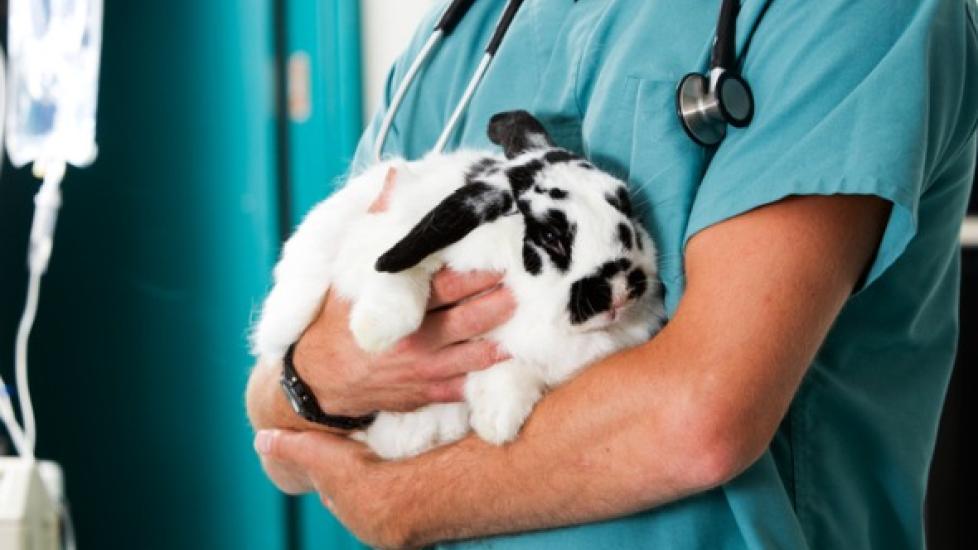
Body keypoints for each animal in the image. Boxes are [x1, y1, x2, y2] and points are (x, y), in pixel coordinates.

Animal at [253, 110, 666, 460]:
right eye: (551, 236)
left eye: (626, 206)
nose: (619, 289)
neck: (531, 299)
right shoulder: (387, 240)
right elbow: (398, 277)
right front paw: (376, 332)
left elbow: (511, 366)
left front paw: (497, 421)